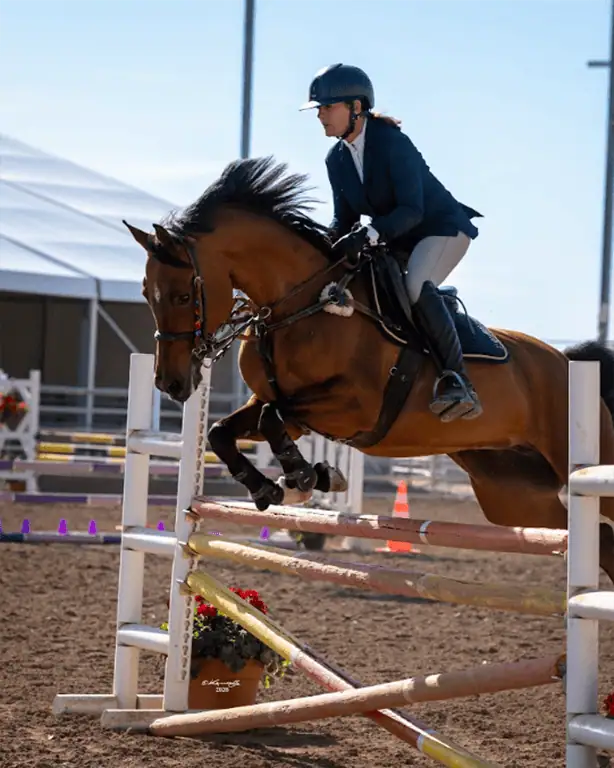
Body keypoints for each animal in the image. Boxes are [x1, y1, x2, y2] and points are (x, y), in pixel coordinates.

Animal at [123, 155, 614, 582]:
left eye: (184, 295)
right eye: (146, 293)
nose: (171, 383)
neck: (297, 304)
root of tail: (568, 361)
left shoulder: (352, 407)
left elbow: (271, 417)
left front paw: (307, 477)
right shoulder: (290, 410)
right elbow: (224, 430)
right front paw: (272, 487)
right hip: (513, 492)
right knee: (593, 539)